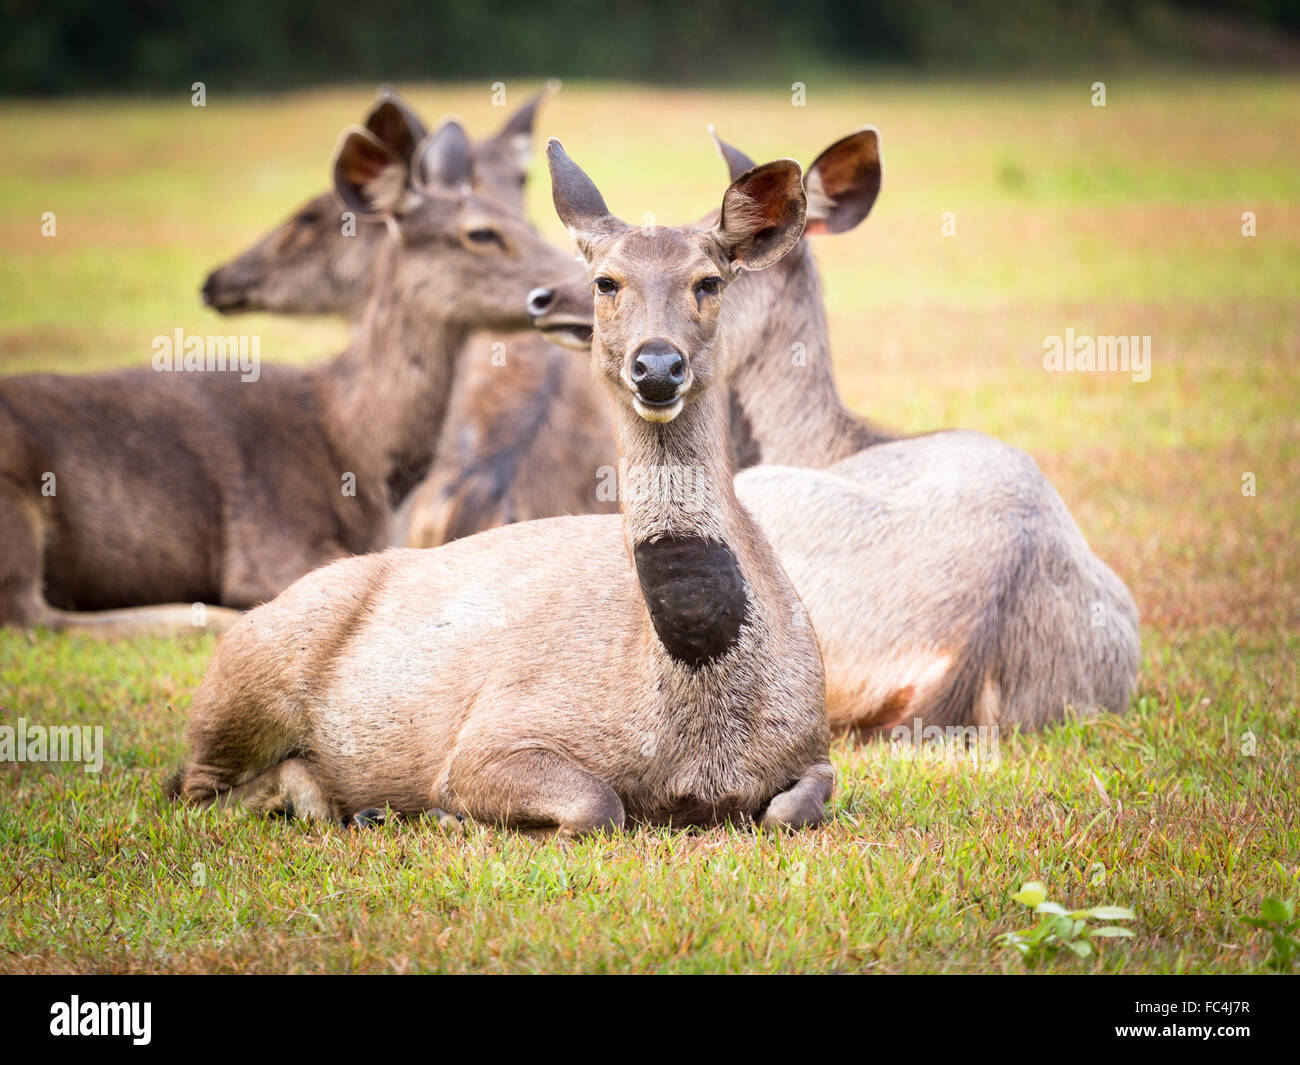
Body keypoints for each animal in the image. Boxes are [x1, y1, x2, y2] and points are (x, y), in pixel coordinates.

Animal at [0, 120, 574, 637]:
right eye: (481, 233)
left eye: (523, 218)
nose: (569, 289)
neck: (348, 444)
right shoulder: (270, 538)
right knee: (31, 615)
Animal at [170, 141, 832, 837]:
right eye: (606, 282)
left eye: (710, 281)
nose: (657, 366)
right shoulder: (494, 733)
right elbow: (598, 804)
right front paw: (453, 815)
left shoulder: (816, 743)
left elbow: (791, 809)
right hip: (246, 678)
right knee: (195, 787)